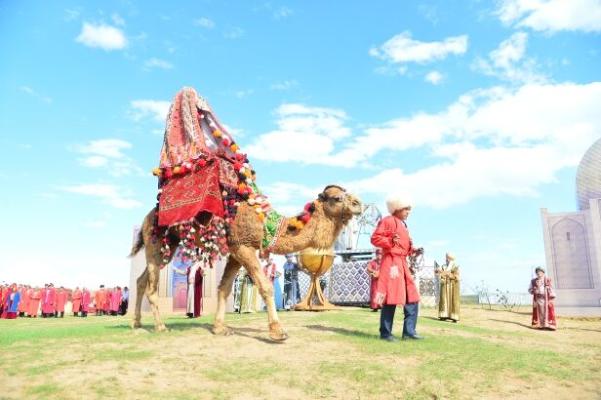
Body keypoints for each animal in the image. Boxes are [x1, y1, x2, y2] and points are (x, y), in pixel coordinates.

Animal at [129, 184, 360, 340]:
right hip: (157, 240)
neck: (265, 222)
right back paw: (160, 327)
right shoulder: (243, 246)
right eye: (337, 198)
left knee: (141, 280)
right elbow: (265, 286)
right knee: (151, 286)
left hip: (169, 245)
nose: (359, 204)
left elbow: (224, 288)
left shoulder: (235, 251)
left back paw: (137, 323)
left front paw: (219, 328)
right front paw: (278, 331)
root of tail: (145, 219)